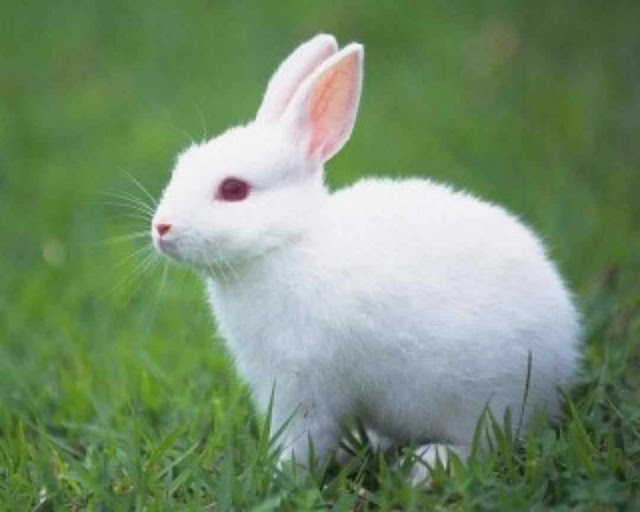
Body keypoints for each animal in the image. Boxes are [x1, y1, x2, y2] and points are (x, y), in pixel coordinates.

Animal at [151, 34, 581, 481]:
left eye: (233, 189)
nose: (161, 227)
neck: (288, 243)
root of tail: (563, 357)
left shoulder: (304, 386)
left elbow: (305, 439)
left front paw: (280, 476)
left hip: (483, 399)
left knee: (484, 444)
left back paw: (427, 466)